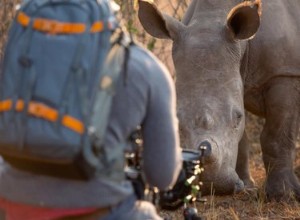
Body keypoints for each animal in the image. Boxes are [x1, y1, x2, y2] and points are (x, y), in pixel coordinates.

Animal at [138, 0, 300, 200]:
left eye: (237, 117)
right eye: (176, 119)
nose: (211, 185)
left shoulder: (285, 73)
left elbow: (277, 135)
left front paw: (283, 196)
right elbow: (242, 141)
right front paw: (246, 187)